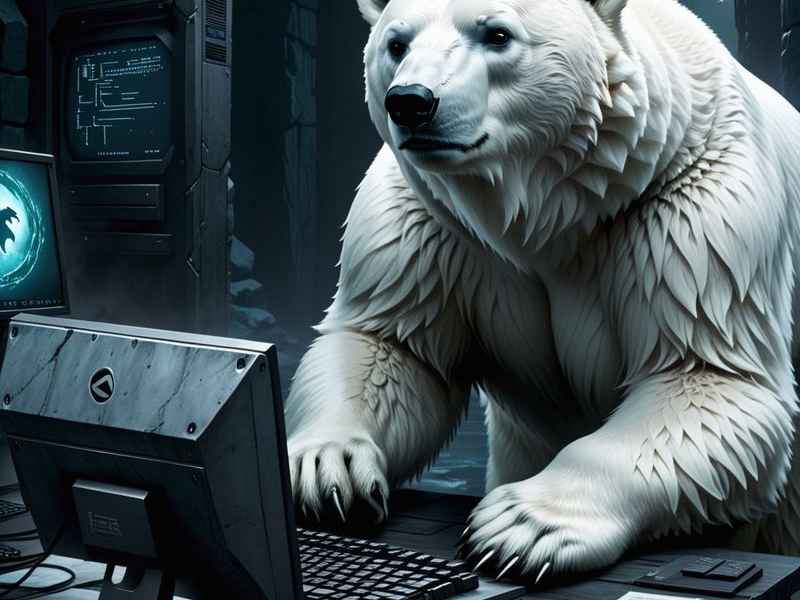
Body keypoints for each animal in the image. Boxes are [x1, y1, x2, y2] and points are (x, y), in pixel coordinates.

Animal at [285, 0, 800, 582]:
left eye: (497, 34)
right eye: (396, 44)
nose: (411, 102)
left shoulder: (690, 215)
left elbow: (707, 380)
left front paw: (524, 524)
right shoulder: (429, 220)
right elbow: (391, 348)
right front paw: (328, 467)